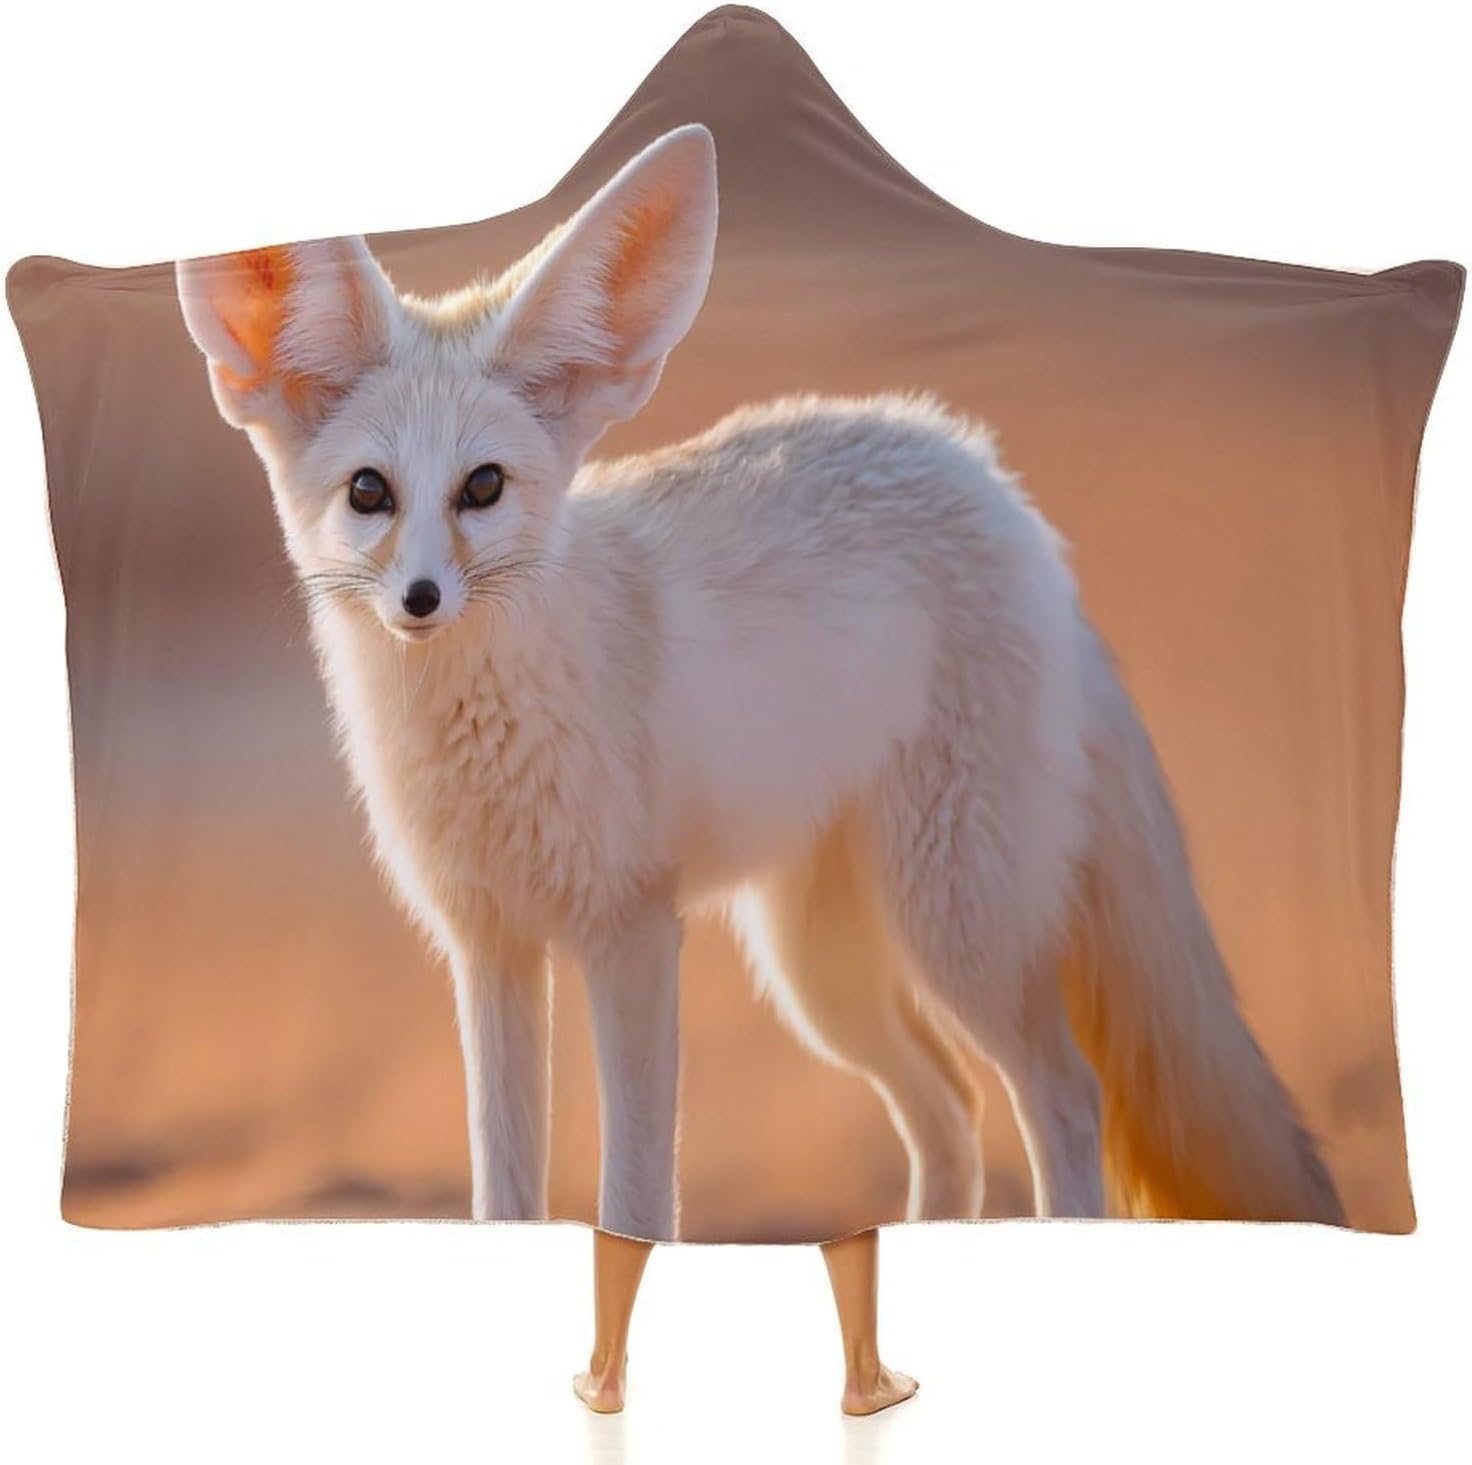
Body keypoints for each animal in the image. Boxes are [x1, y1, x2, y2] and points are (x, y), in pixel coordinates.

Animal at [176, 124, 1344, 1239]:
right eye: (369, 492)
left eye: (484, 488)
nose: (419, 598)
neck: (486, 739)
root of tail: (1000, 490)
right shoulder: (490, 945)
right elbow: (503, 1190)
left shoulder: (630, 929)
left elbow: (636, 1197)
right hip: (820, 971)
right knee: (951, 1111)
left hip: (953, 927)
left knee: (1062, 1096)